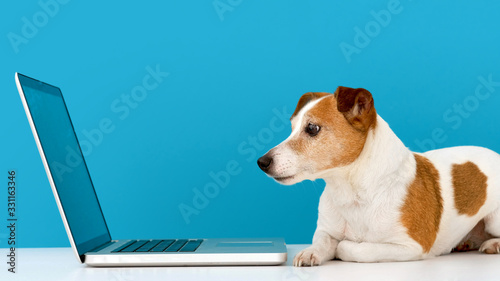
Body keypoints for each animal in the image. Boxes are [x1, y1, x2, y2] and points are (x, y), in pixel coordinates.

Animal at [258, 86, 500, 266]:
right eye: (291, 128)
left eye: (312, 128)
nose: (262, 162)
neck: (350, 191)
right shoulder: (325, 231)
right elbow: (322, 242)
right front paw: (311, 251)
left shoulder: (410, 246)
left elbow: (353, 248)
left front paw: (341, 247)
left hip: (494, 220)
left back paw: (492, 245)